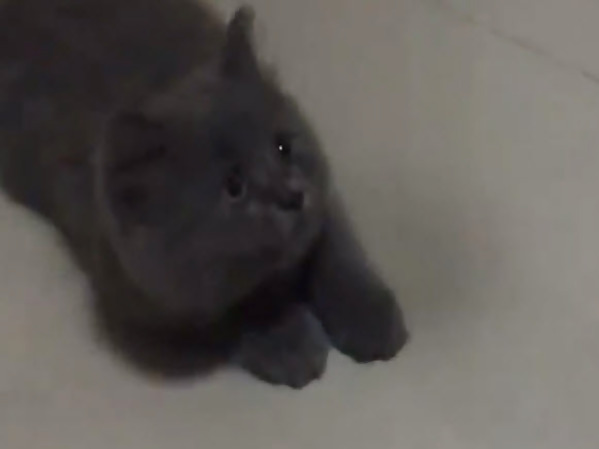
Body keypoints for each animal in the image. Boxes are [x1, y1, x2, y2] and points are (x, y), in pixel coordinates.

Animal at [0, 0, 408, 388]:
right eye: (234, 187)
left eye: (283, 147)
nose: (290, 195)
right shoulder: (144, 298)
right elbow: (227, 309)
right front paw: (285, 340)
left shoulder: (323, 197)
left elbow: (336, 250)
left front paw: (370, 317)